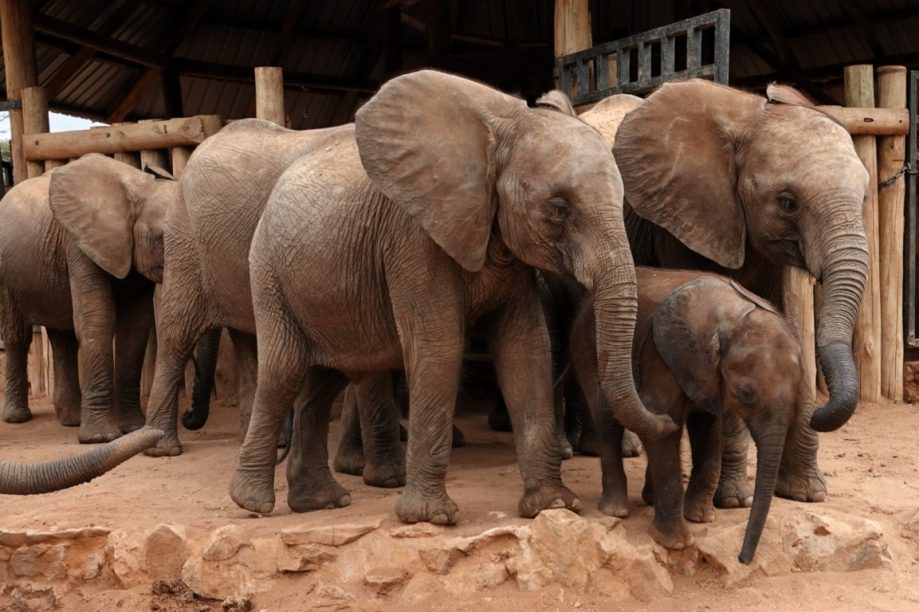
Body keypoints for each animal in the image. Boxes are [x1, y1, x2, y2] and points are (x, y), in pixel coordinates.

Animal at [0, 154, 176, 443]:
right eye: (162, 237)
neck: (139, 189)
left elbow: (136, 326)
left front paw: (133, 429)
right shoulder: (79, 244)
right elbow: (98, 319)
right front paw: (101, 439)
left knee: (63, 338)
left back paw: (71, 419)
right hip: (7, 275)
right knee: (17, 336)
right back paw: (17, 418)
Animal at [232, 69, 676, 525]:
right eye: (557, 208)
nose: (668, 421)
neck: (503, 133)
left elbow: (526, 346)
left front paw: (551, 505)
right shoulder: (413, 237)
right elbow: (440, 346)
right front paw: (432, 517)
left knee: (325, 381)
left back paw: (320, 501)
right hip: (267, 272)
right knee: (284, 371)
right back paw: (253, 503)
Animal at [569, 268, 801, 564]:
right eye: (745, 393)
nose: (742, 559)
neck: (733, 317)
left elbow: (709, 428)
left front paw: (701, 518)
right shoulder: (662, 357)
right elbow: (663, 419)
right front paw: (676, 543)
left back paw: (649, 499)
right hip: (587, 347)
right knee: (607, 420)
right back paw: (615, 511)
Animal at [577, 79, 870, 506]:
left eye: (864, 198)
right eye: (787, 202)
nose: (819, 410)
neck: (748, 118)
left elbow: (784, 323)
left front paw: (807, 494)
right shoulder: (683, 216)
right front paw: (732, 499)